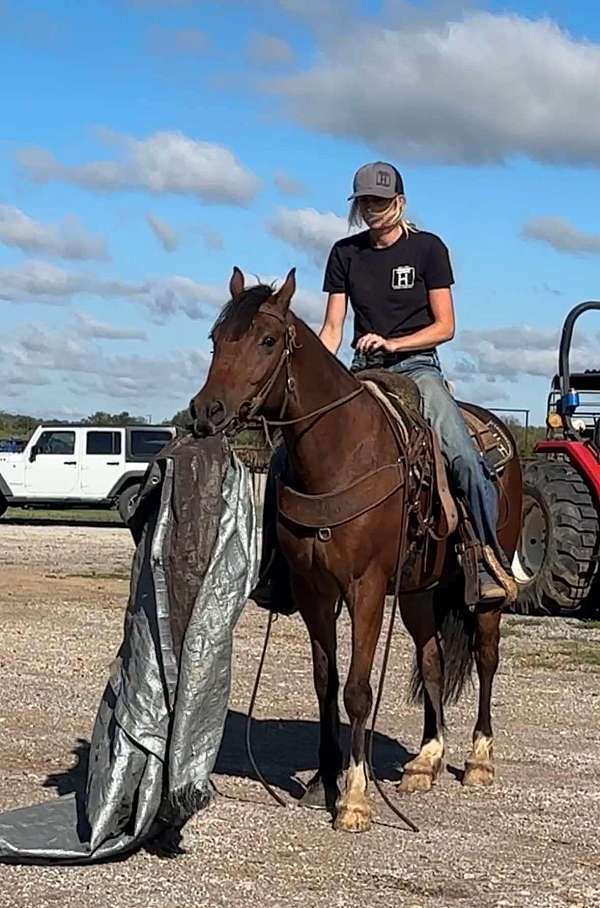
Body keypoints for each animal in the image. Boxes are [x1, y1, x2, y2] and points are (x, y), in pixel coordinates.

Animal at [191, 266, 520, 832]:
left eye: (267, 340)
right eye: (216, 340)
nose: (206, 410)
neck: (340, 455)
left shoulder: (365, 589)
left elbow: (358, 690)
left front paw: (355, 797)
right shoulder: (313, 591)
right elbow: (326, 682)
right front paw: (324, 780)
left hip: (483, 596)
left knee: (485, 657)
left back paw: (479, 759)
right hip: (418, 592)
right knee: (432, 658)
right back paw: (426, 760)